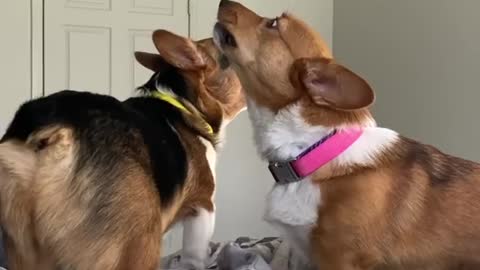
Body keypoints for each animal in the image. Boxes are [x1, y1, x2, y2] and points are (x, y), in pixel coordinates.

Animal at [0, 29, 244, 270]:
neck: (186, 104)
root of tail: (53, 130)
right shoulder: (203, 206)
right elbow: (194, 257)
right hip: (141, 241)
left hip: (25, 250)